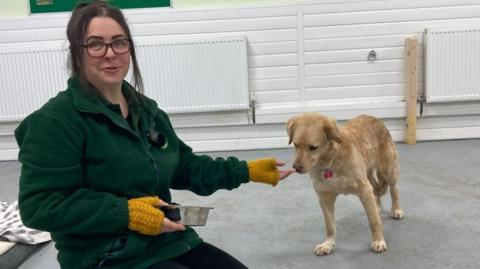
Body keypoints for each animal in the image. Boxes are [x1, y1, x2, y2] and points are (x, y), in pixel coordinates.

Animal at [286, 112, 404, 253]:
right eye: (295, 145)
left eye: (313, 147)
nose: (296, 168)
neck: (331, 161)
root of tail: (374, 119)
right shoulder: (325, 197)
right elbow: (330, 225)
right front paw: (328, 244)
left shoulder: (364, 190)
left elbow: (373, 221)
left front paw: (378, 240)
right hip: (368, 174)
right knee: (376, 189)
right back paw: (377, 206)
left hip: (388, 171)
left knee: (394, 190)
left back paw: (396, 209)